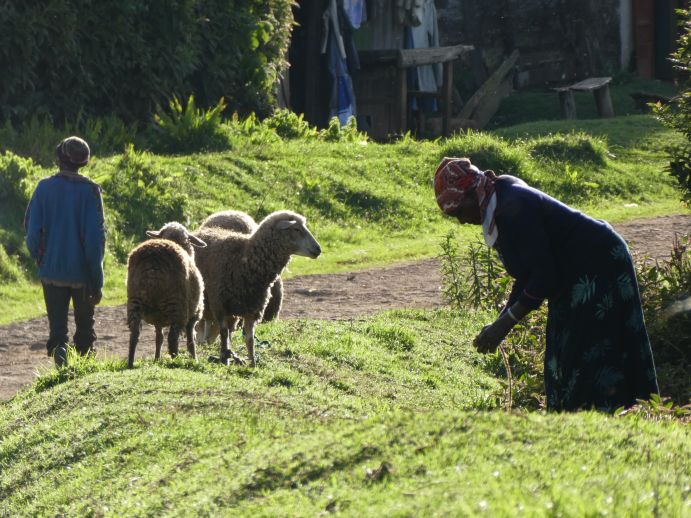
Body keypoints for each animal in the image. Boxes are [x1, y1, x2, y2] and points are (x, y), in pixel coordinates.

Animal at [125, 222, 205, 370]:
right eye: (187, 239)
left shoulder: (157, 318)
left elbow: (159, 338)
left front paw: (156, 359)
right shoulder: (194, 314)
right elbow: (191, 338)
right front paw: (194, 359)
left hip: (135, 301)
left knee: (134, 335)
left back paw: (130, 363)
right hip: (177, 304)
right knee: (173, 338)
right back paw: (176, 362)